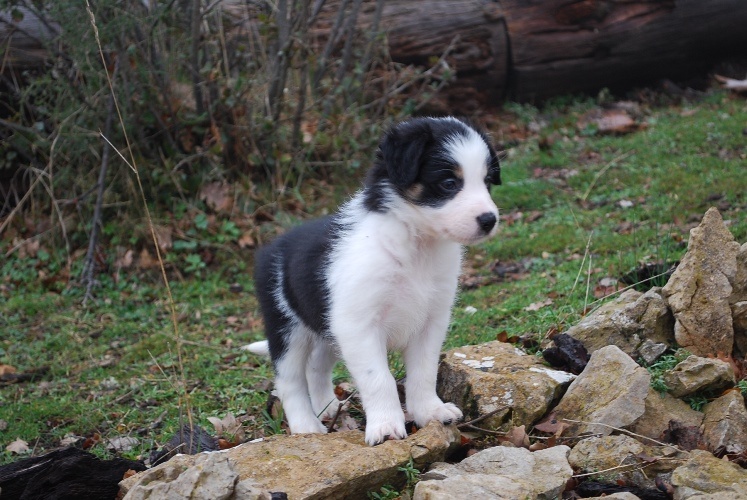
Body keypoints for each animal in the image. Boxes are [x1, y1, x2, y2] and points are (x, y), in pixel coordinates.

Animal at [247, 117, 502, 446]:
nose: (489, 220)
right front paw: (386, 426)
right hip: (287, 326)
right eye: (449, 183)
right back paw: (306, 426)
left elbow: (424, 371)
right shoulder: (359, 324)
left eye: (487, 181)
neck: (415, 245)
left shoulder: (431, 320)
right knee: (289, 379)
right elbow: (378, 378)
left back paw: (328, 407)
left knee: (316, 368)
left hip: (327, 328)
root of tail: (270, 249)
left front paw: (430, 412)